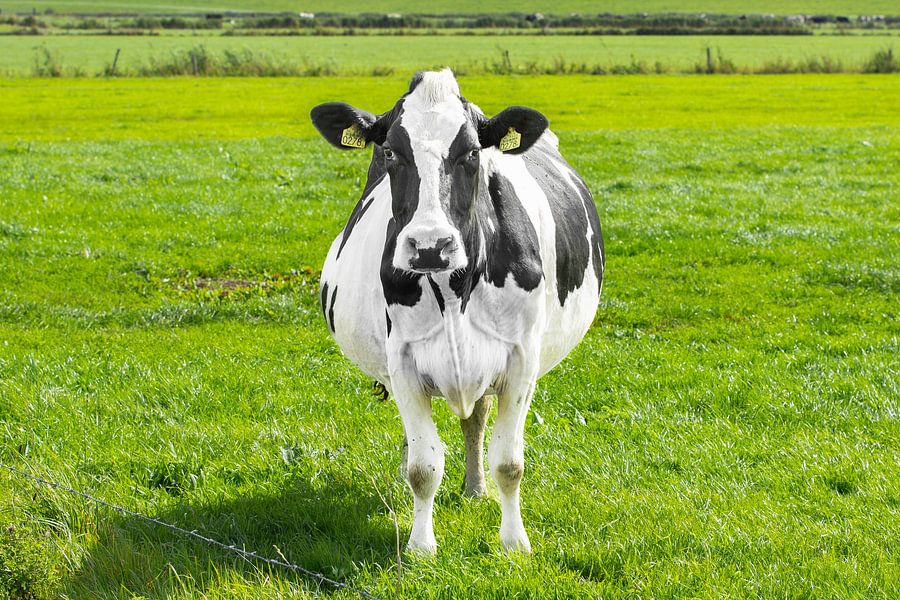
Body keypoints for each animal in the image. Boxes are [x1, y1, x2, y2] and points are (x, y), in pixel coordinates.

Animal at [311, 69, 603, 553]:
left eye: (471, 152)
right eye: (390, 151)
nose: (430, 245)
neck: (453, 293)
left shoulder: (521, 361)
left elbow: (509, 462)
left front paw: (514, 542)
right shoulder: (403, 363)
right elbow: (424, 466)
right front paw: (421, 545)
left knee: (476, 418)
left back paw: (475, 487)